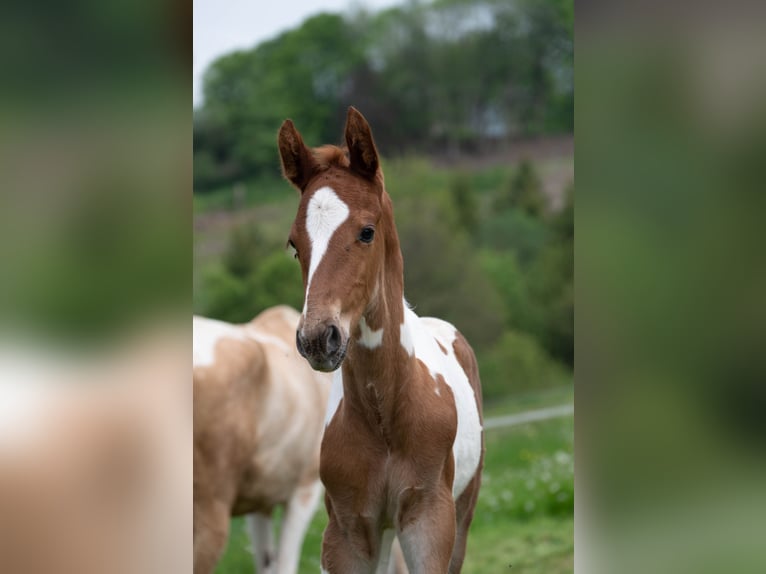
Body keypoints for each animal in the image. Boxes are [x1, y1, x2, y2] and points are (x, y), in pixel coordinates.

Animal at [280, 106, 486, 572]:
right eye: (294, 245)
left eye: (367, 232)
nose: (317, 338)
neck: (383, 415)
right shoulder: (348, 531)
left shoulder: (430, 521)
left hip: (463, 509)